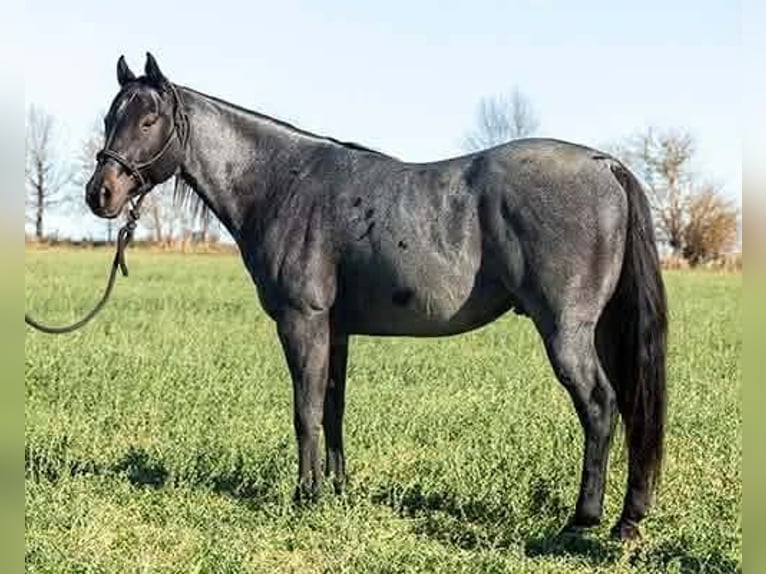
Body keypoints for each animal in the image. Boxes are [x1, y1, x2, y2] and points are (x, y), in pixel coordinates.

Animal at [85, 53, 667, 541]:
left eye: (147, 121)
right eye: (110, 117)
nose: (100, 194)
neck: (281, 184)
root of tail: (605, 164)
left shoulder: (302, 322)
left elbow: (305, 409)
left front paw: (305, 495)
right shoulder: (336, 330)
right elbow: (332, 409)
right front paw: (336, 490)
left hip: (567, 332)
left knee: (600, 406)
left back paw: (583, 520)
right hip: (604, 330)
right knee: (629, 405)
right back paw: (627, 520)